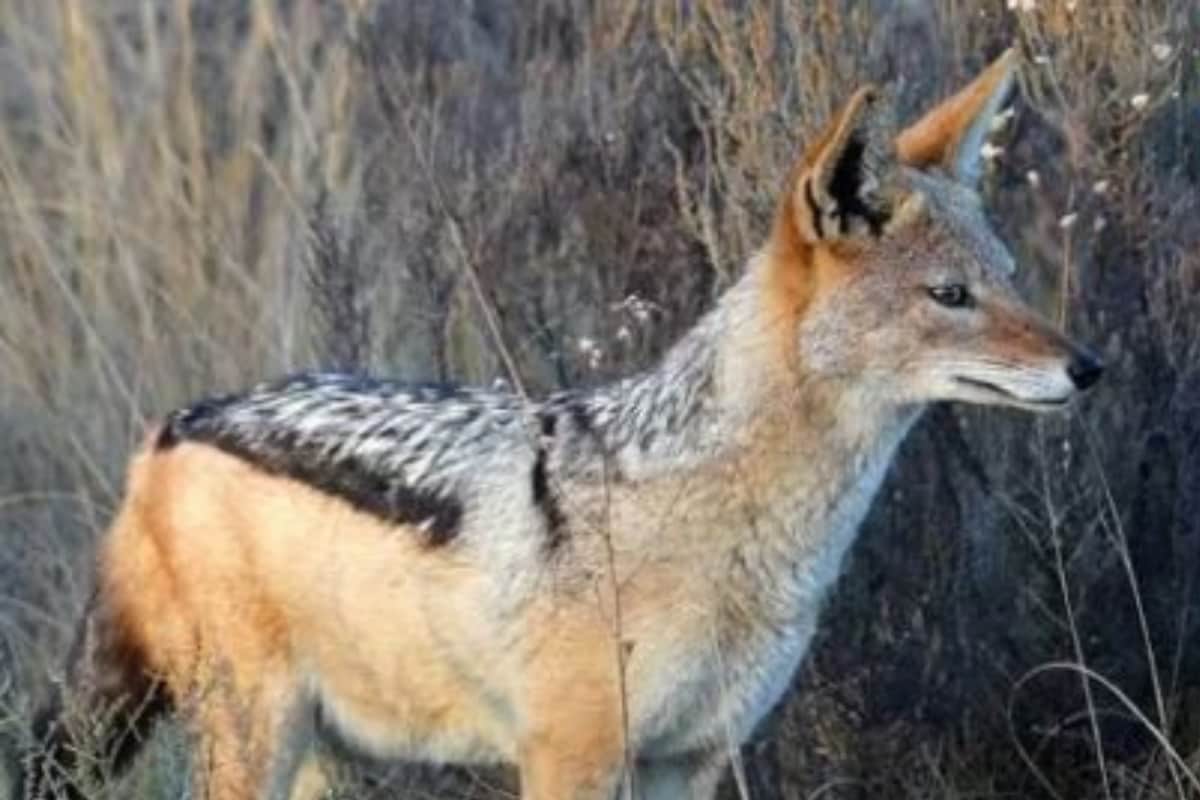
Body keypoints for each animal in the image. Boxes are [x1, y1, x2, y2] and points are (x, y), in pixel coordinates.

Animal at [17, 49, 1103, 800]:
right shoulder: (570, 758)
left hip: (324, 752)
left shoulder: (689, 760)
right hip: (256, 736)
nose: (1089, 368)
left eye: (1009, 278)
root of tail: (174, 423)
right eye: (951, 296)